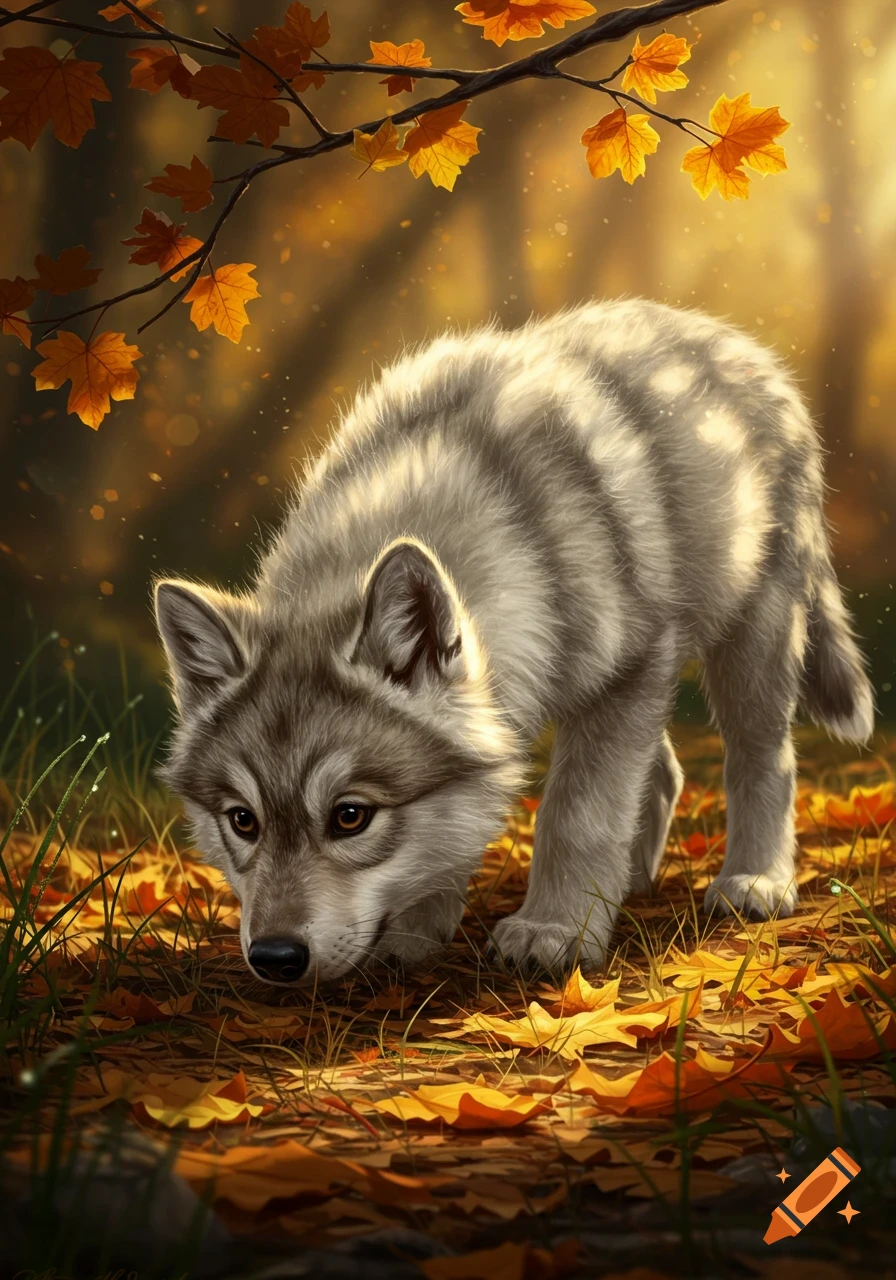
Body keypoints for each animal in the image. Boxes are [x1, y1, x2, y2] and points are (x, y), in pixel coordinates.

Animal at [154, 299, 874, 986]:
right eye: (242, 821)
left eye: (350, 816)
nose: (274, 957)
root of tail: (741, 346)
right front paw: (418, 933)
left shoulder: (631, 670)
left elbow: (575, 815)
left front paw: (555, 931)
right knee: (666, 769)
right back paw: (632, 883)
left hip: (753, 640)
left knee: (764, 757)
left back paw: (755, 881)